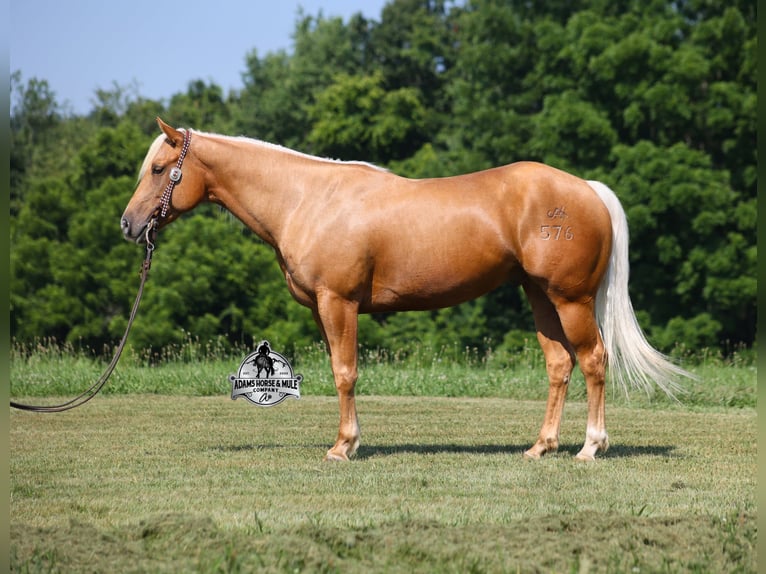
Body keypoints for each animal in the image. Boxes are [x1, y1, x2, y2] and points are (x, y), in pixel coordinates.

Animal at [122, 118, 691, 462]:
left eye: (158, 169)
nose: (129, 225)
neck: (307, 198)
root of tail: (586, 190)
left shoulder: (339, 303)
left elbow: (345, 373)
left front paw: (343, 447)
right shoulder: (321, 310)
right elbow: (340, 371)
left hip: (569, 299)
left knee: (593, 360)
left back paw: (590, 447)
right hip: (539, 297)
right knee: (559, 365)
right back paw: (540, 447)